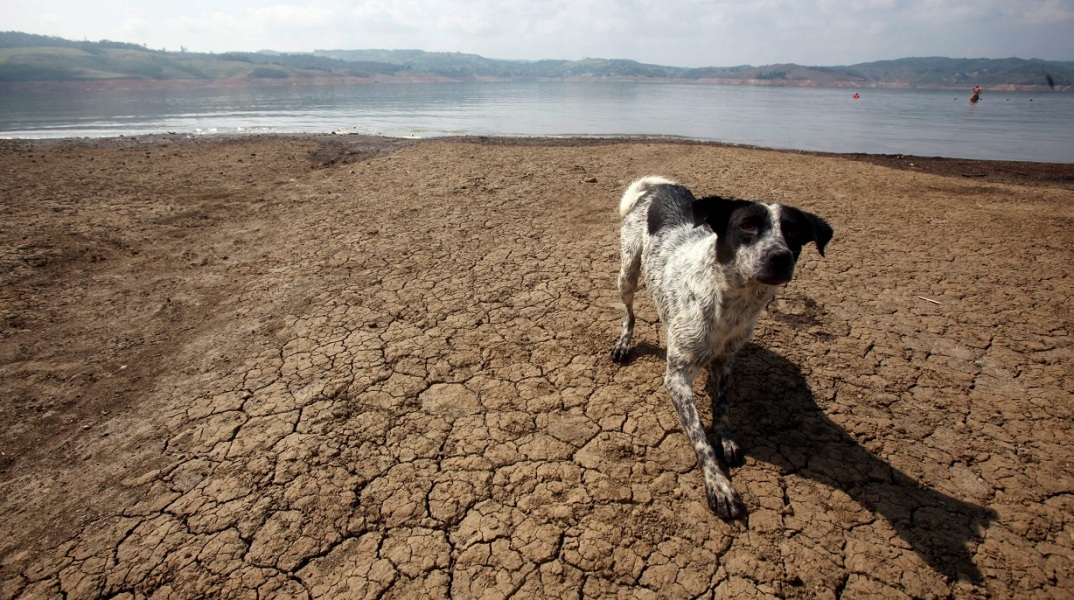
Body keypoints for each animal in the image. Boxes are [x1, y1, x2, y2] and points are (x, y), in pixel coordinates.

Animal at [614, 174, 829, 521]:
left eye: (793, 232)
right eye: (748, 226)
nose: (780, 257)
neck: (733, 302)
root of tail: (660, 186)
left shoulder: (726, 360)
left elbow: (722, 404)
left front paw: (725, 438)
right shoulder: (676, 378)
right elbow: (700, 439)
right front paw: (719, 485)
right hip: (628, 273)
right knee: (629, 313)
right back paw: (623, 342)